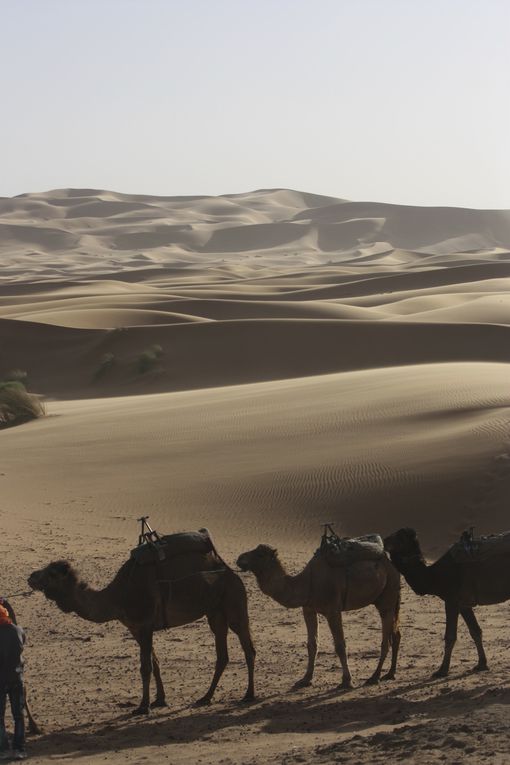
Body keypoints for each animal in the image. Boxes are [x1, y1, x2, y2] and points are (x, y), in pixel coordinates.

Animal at [27, 540, 255, 712]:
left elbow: (145, 667)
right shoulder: (135, 629)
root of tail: (230, 571)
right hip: (215, 612)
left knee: (247, 647)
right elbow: (155, 663)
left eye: (52, 573)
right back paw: (206, 697)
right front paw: (159, 700)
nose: (30, 577)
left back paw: (248, 695)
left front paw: (143, 706)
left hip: (233, 600)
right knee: (222, 654)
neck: (117, 597)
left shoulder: (144, 624)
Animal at [237, 544, 400, 688]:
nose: (240, 558)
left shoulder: (333, 611)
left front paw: (346, 681)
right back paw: (390, 674)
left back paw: (375, 676)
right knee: (396, 634)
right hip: (386, 598)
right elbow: (312, 644)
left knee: (386, 639)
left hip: (387, 596)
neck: (307, 584)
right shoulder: (309, 610)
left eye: (260, 554)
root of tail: (391, 563)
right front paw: (305, 679)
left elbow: (340, 645)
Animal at [384, 528, 510, 676]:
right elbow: (475, 631)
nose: (385, 540)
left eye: (400, 538)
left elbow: (450, 636)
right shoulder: (463, 604)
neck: (435, 577)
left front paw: (442, 670)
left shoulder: (451, 599)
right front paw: (481, 664)